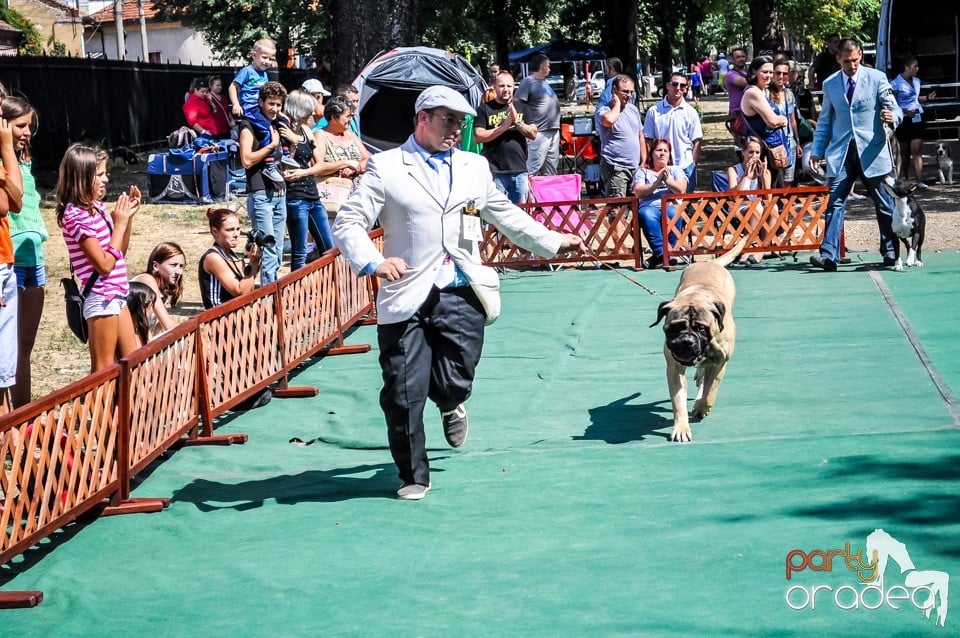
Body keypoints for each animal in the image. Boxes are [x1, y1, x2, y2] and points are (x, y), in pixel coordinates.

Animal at [648, 238, 748, 442]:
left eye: (701, 329)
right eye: (675, 327)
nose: (686, 340)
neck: (697, 297)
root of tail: (710, 263)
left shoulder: (720, 363)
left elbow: (710, 391)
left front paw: (702, 407)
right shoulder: (674, 368)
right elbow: (678, 401)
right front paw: (681, 427)